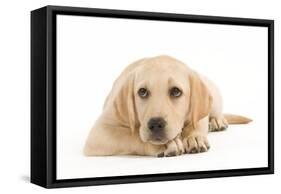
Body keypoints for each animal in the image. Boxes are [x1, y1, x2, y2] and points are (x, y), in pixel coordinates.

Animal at [83, 55, 252, 157]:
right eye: (142, 92)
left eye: (176, 91)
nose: (156, 124)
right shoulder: (100, 131)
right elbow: (130, 136)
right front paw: (163, 145)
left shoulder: (198, 114)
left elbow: (196, 123)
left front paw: (194, 137)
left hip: (212, 91)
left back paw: (217, 121)